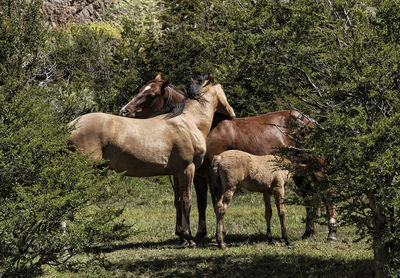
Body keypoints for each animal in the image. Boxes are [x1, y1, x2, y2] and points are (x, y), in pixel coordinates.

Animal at [69, 77, 234, 247]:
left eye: (150, 93)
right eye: (223, 93)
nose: (232, 114)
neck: (188, 122)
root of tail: (72, 125)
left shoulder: (176, 172)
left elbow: (178, 201)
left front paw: (182, 236)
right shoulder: (188, 169)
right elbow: (186, 201)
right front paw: (189, 238)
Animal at [119, 74, 338, 243]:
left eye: (151, 94)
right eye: (140, 89)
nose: (124, 111)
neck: (204, 126)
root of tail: (310, 121)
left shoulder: (210, 173)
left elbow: (215, 200)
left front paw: (218, 235)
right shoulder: (198, 175)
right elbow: (200, 203)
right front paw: (200, 234)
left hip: (317, 168)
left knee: (327, 193)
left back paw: (331, 233)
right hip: (300, 172)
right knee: (310, 196)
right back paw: (308, 232)